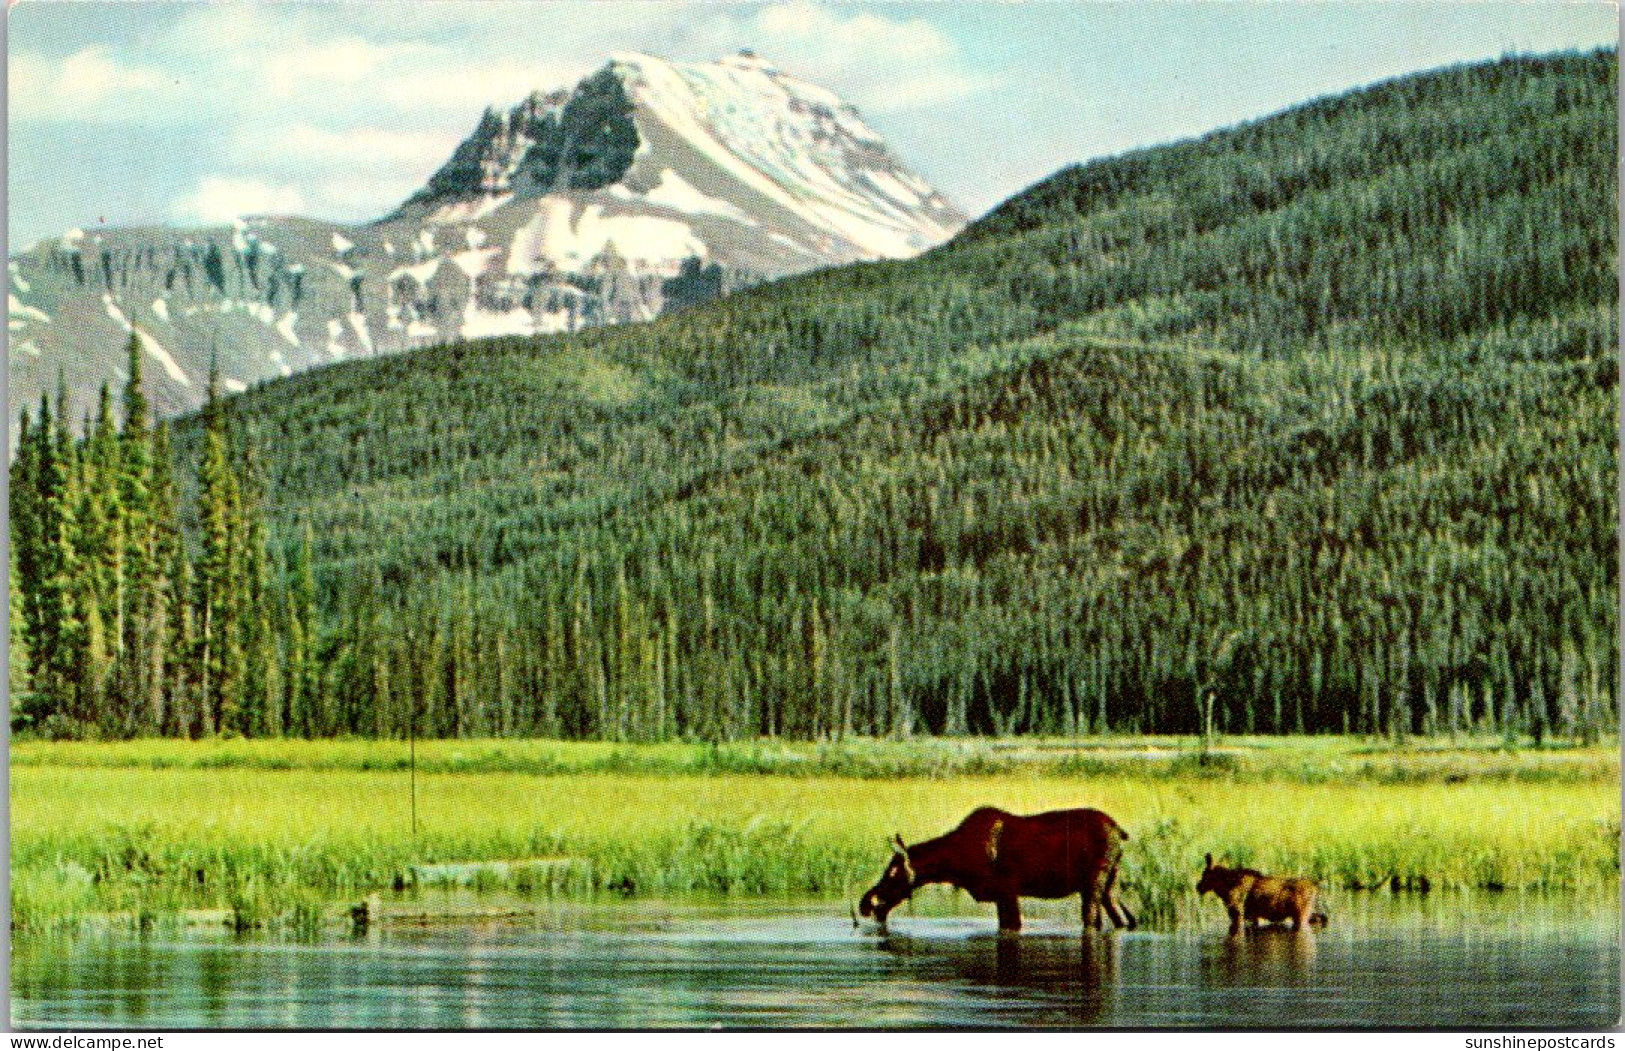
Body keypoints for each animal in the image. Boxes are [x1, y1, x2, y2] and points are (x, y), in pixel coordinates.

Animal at [858, 805, 1137, 935]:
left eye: (892, 872)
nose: (865, 902)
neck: (954, 864)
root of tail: (1121, 832)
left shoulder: (1006, 891)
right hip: (1111, 883)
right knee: (1123, 918)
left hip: (1092, 882)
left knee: (1092, 919)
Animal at [1189, 857, 1326, 935]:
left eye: (1204, 874)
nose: (1198, 886)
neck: (1224, 888)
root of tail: (1315, 887)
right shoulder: (1254, 916)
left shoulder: (1238, 913)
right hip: (1308, 912)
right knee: (1322, 918)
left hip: (1301, 915)